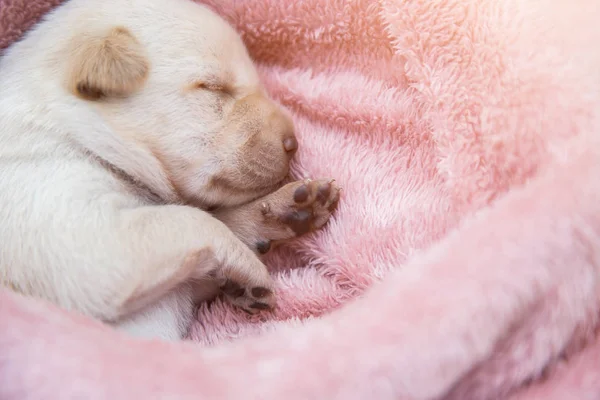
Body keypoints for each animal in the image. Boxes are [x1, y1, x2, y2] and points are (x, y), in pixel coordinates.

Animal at [0, 0, 338, 340]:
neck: (77, 133)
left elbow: (207, 222)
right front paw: (249, 265)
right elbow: (192, 219)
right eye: (213, 88)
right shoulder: (75, 228)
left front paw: (281, 212)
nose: (293, 143)